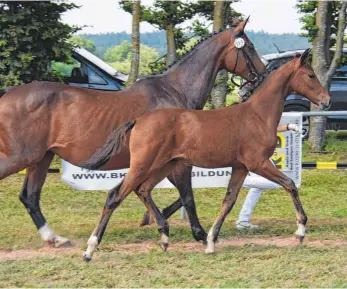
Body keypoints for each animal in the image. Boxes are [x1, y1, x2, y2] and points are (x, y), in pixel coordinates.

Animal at [82, 48, 332, 260]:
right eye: (310, 75)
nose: (327, 100)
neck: (257, 116)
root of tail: (138, 121)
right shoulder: (258, 163)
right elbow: (290, 184)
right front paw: (300, 231)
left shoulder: (240, 167)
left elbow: (228, 201)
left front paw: (210, 241)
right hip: (144, 165)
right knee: (116, 195)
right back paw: (90, 249)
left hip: (165, 165)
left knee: (142, 189)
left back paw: (164, 237)